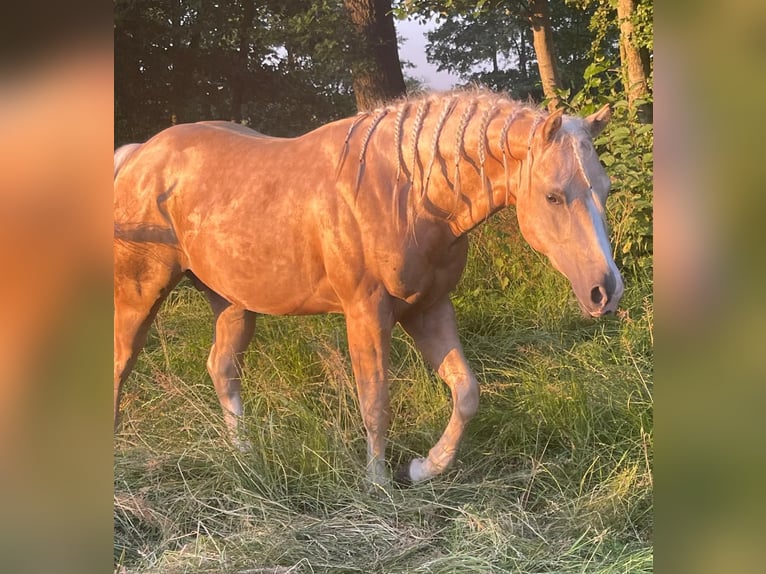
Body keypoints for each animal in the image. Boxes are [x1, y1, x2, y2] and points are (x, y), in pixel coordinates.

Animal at [117, 90, 628, 486]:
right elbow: (376, 399)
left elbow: (466, 392)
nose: (606, 292)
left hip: (232, 302)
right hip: (139, 291)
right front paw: (377, 481)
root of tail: (138, 156)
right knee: (122, 365)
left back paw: (245, 453)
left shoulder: (429, 308)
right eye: (553, 196)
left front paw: (422, 468)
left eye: (605, 190)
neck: (407, 193)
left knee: (222, 369)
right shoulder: (366, 312)